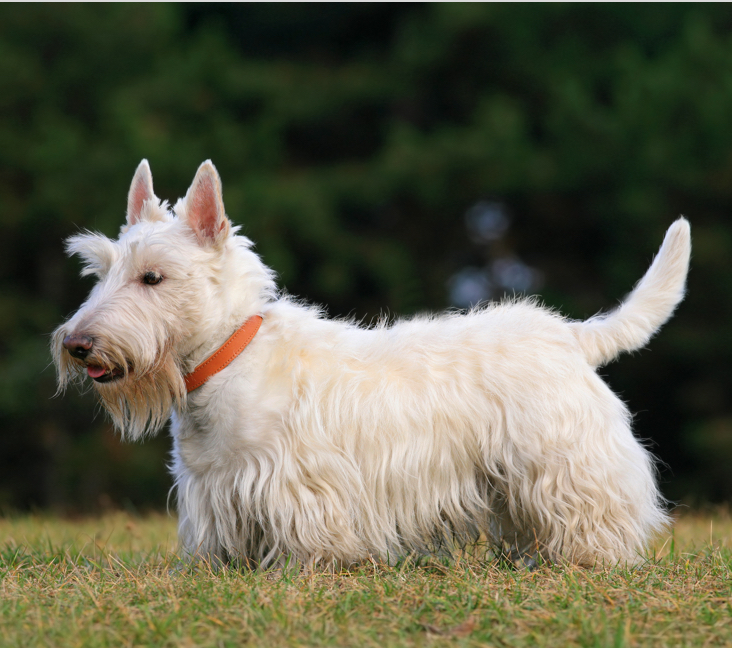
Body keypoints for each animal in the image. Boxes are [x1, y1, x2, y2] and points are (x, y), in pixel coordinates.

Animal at [54, 161, 688, 568]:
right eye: (100, 272)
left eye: (153, 277)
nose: (78, 345)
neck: (226, 357)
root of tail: (570, 336)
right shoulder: (213, 490)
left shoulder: (298, 484)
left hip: (562, 463)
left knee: (592, 513)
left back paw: (589, 559)